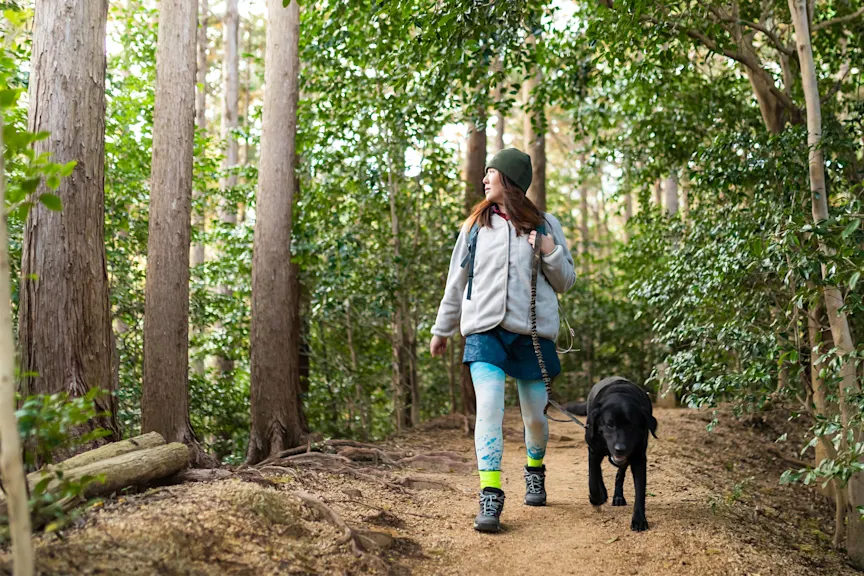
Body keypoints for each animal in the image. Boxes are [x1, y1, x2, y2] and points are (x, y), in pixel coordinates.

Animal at [568, 378, 660, 532]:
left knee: (619, 474)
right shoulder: (593, 450)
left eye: (631, 426)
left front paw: (639, 520)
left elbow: (640, 491)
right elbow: (592, 479)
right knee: (598, 472)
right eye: (610, 425)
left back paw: (618, 497)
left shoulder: (639, 458)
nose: (620, 449)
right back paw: (603, 493)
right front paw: (596, 498)